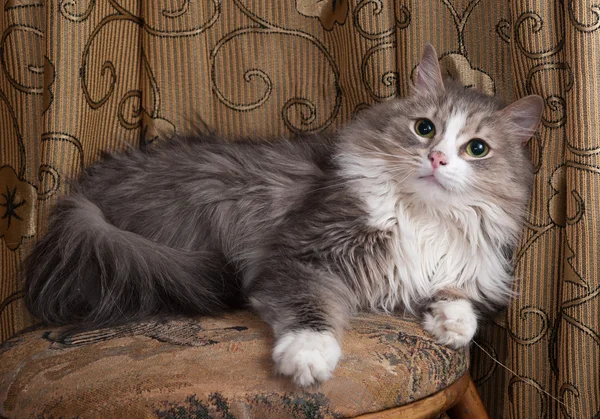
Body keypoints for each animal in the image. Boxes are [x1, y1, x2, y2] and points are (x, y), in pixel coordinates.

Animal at [23, 45, 544, 388]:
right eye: (424, 128)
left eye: (477, 149)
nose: (436, 159)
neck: (423, 217)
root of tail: (85, 196)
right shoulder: (300, 256)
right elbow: (312, 307)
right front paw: (308, 356)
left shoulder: (450, 268)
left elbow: (458, 295)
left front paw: (453, 325)